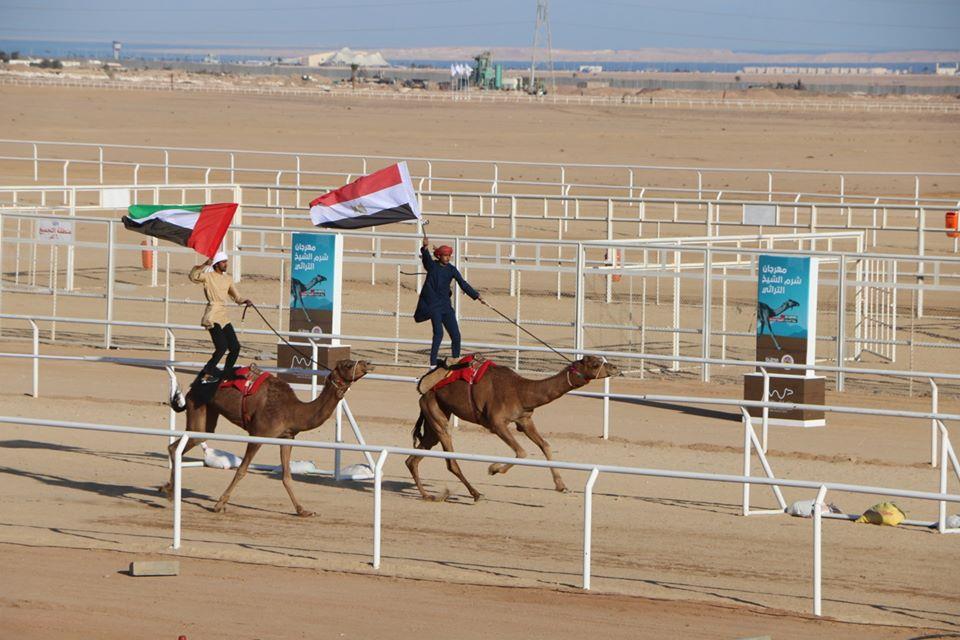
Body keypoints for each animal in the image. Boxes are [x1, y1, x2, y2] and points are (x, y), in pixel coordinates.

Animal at [161, 358, 372, 516]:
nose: (368, 363)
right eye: (348, 364)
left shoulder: (287, 438)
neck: (292, 411)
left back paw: (168, 489)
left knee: (184, 443)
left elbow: (287, 476)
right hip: (197, 405)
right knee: (178, 446)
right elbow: (242, 470)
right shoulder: (258, 434)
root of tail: (194, 385)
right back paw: (170, 493)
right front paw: (219, 505)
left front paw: (303, 510)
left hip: (206, 417)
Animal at [404, 356, 616, 500]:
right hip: (435, 412)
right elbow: (521, 452)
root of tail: (423, 391)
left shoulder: (524, 420)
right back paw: (476, 493)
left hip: (436, 416)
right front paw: (493, 469)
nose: (614, 367)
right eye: (595, 363)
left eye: (600, 359)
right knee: (450, 460)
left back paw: (427, 495)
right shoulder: (496, 423)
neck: (521, 391)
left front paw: (561, 485)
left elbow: (546, 446)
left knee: (413, 458)